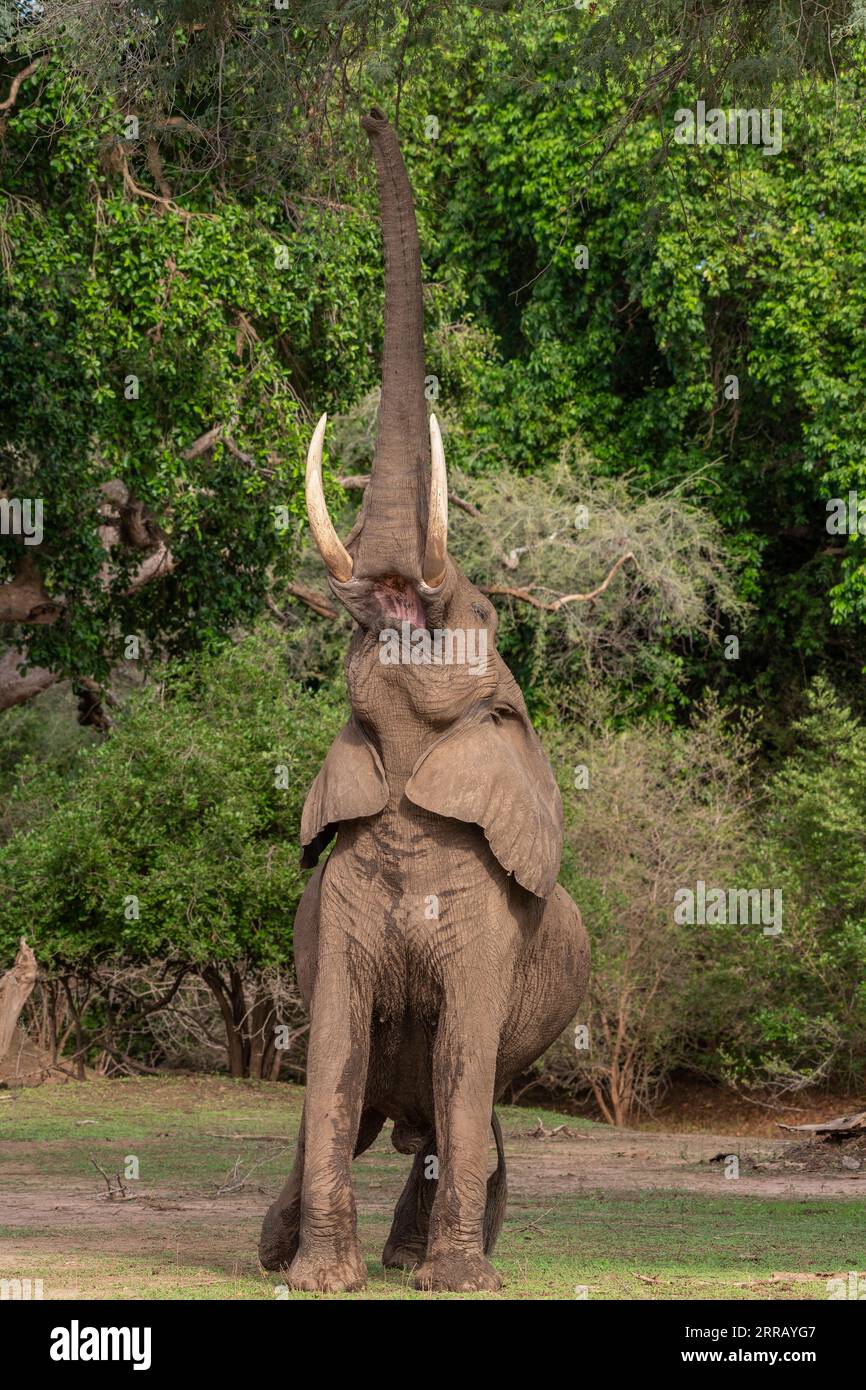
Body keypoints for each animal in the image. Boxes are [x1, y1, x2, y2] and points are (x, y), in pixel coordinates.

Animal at [257, 105, 592, 1289]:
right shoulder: (339, 897)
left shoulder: (493, 917)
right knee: (374, 1116)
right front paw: (316, 1281)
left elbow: (460, 1050)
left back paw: (432, 1261)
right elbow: (333, 1053)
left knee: (466, 1116)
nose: (371, 113)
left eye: (472, 617)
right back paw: (280, 1250)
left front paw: (453, 1285)